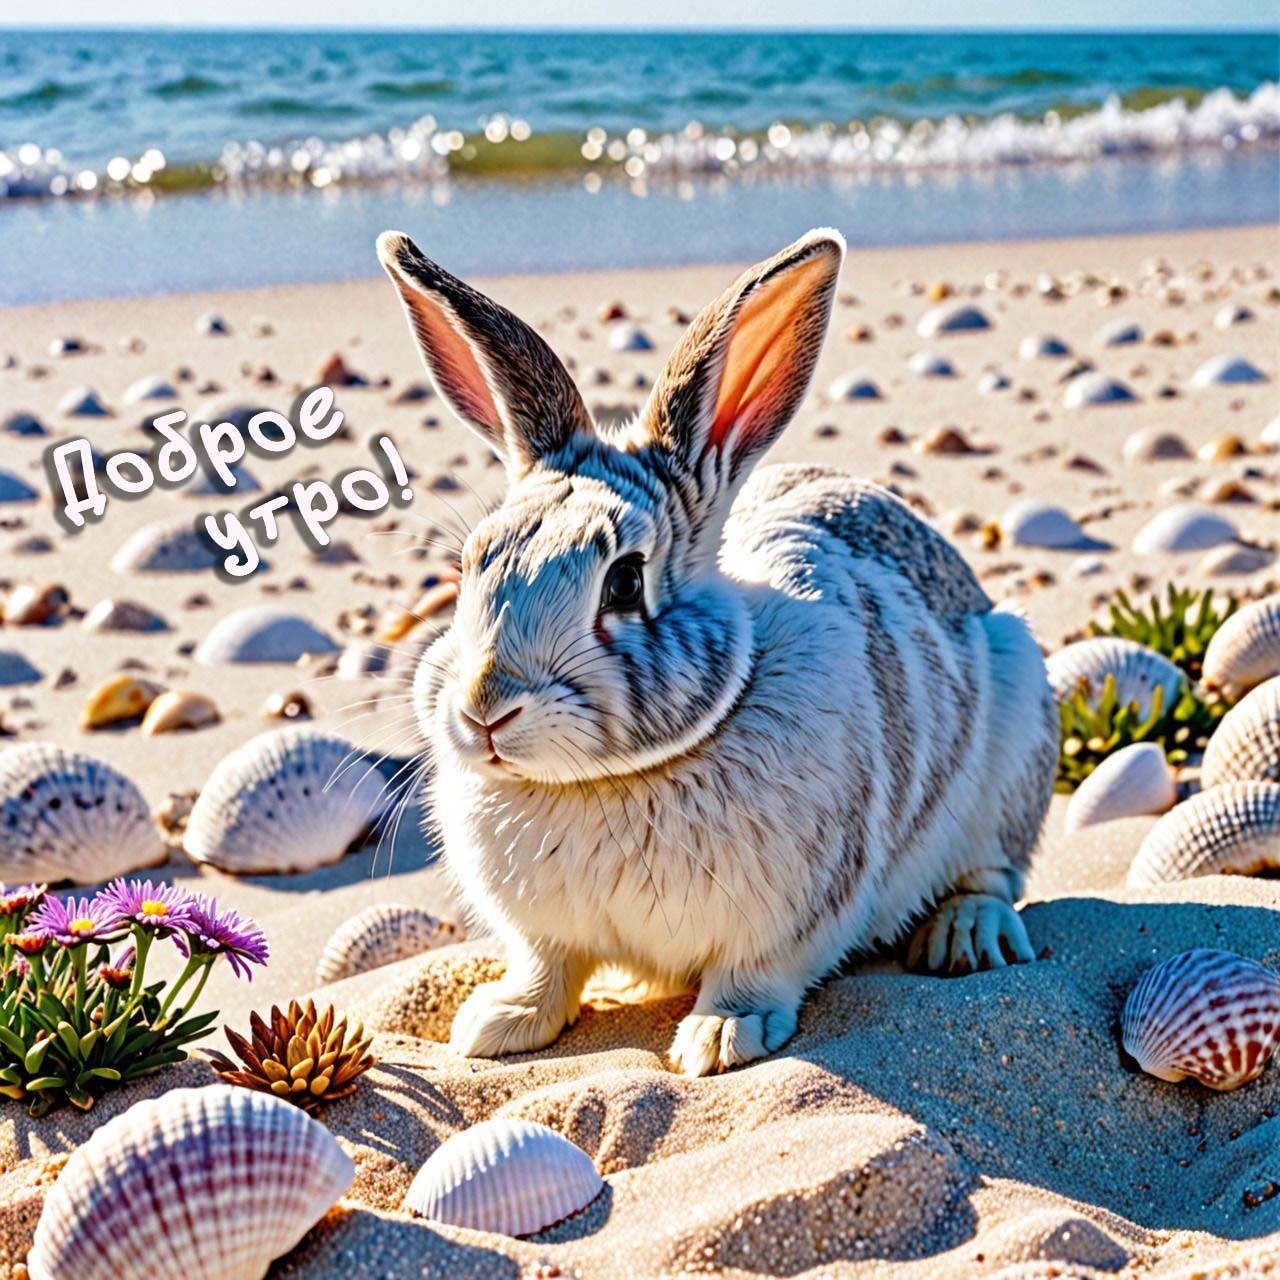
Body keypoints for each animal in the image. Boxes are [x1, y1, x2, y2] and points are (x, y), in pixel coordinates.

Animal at [377, 226, 1059, 1077]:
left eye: (625, 582)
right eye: (471, 563)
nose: (485, 711)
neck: (606, 782)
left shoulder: (791, 918)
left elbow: (752, 974)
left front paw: (720, 1039)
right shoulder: (544, 936)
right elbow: (547, 970)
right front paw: (496, 1024)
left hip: (1017, 737)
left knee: (994, 872)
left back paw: (966, 937)